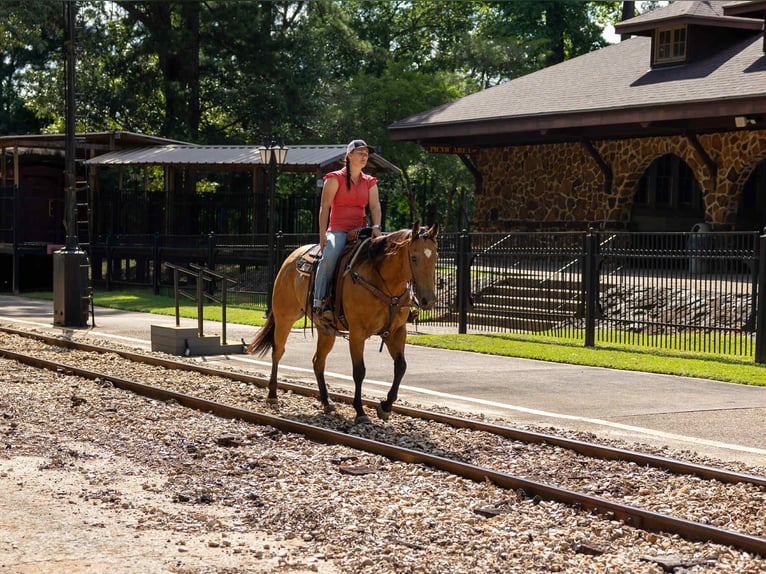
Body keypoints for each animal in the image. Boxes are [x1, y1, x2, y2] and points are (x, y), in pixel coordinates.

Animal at [247, 222, 439, 424]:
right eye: (414, 257)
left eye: (435, 256)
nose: (428, 300)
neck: (383, 282)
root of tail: (291, 258)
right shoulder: (357, 333)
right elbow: (359, 371)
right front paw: (360, 411)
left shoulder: (397, 331)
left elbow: (401, 367)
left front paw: (385, 407)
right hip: (285, 317)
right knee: (278, 351)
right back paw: (272, 395)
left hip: (325, 331)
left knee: (318, 362)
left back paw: (326, 401)